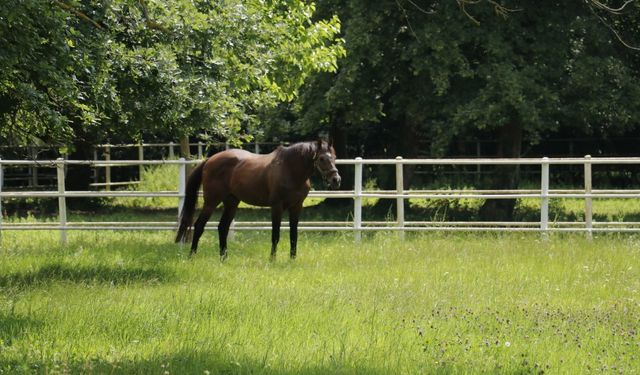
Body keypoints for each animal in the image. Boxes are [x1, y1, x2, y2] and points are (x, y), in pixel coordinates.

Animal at [175, 140, 340, 260]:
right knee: (199, 226)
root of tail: (209, 160)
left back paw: (224, 258)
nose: (336, 180)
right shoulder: (277, 207)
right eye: (321, 158)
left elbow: (294, 235)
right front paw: (272, 259)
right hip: (211, 202)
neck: (289, 169)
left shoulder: (296, 207)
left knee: (222, 228)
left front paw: (292, 259)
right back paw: (192, 256)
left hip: (231, 203)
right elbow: (275, 235)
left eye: (334, 157)